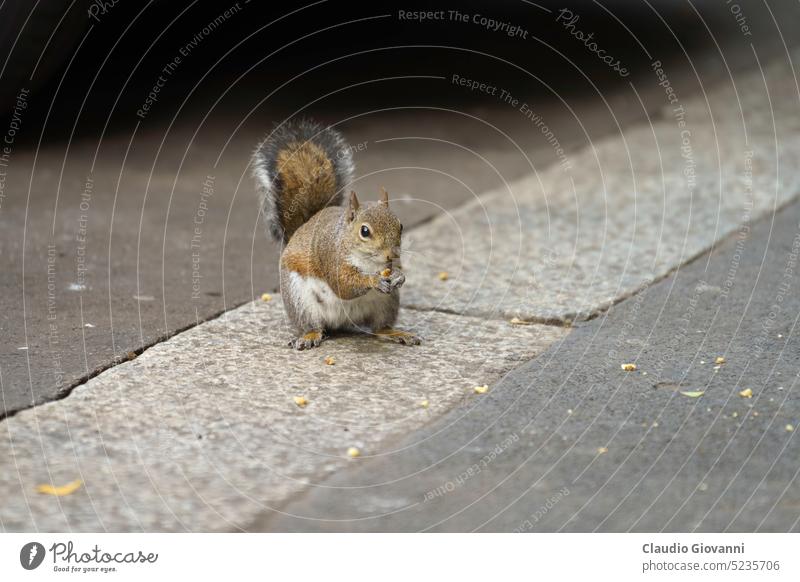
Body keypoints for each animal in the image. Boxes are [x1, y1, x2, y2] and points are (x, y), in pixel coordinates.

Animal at [253, 117, 422, 346]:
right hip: (299, 299)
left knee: (379, 327)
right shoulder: (331, 256)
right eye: (365, 231)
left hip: (387, 303)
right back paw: (309, 336)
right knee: (312, 324)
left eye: (401, 226)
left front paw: (399, 275)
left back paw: (395, 333)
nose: (391, 255)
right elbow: (343, 285)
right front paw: (372, 280)